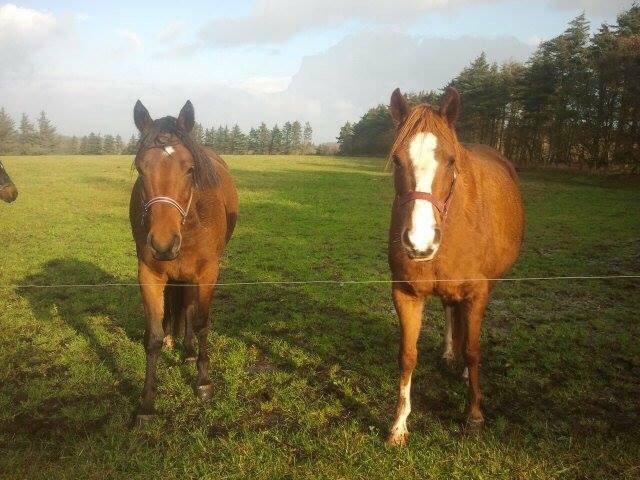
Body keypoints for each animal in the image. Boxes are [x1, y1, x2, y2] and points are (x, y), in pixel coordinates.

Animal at [129, 99, 238, 422]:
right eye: (140, 168)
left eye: (190, 169)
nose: (163, 243)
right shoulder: (148, 274)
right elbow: (152, 336)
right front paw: (147, 403)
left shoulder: (207, 273)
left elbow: (201, 322)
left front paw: (203, 382)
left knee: (190, 306)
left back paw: (189, 351)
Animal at [384, 87, 524, 446]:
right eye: (397, 160)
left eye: (450, 161)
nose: (419, 242)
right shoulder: (406, 293)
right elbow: (407, 355)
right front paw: (399, 424)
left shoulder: (476, 293)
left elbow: (474, 350)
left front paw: (474, 414)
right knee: (449, 308)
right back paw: (450, 353)